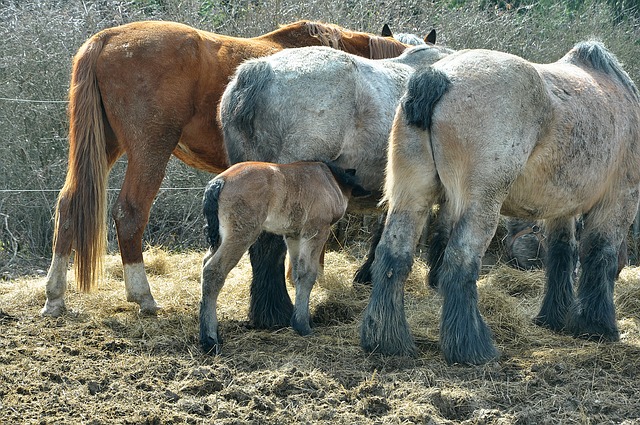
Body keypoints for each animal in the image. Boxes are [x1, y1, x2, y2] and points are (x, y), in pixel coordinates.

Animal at [41, 20, 410, 318]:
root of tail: (106, 38)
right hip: (150, 149)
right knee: (130, 213)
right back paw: (142, 295)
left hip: (106, 145)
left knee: (69, 205)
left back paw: (55, 296)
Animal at [200, 161, 370, 352]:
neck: (330, 179)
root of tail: (219, 182)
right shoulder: (316, 232)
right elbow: (308, 274)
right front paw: (302, 325)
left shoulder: (293, 236)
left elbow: (296, 274)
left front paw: (299, 319)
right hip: (242, 234)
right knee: (213, 271)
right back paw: (210, 339)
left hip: (220, 238)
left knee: (205, 263)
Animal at [360, 40, 640, 364]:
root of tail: (438, 76)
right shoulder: (620, 200)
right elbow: (599, 254)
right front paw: (597, 325)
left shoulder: (563, 208)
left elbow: (561, 254)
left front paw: (554, 318)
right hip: (481, 205)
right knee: (460, 260)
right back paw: (472, 346)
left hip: (411, 195)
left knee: (393, 254)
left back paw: (387, 340)